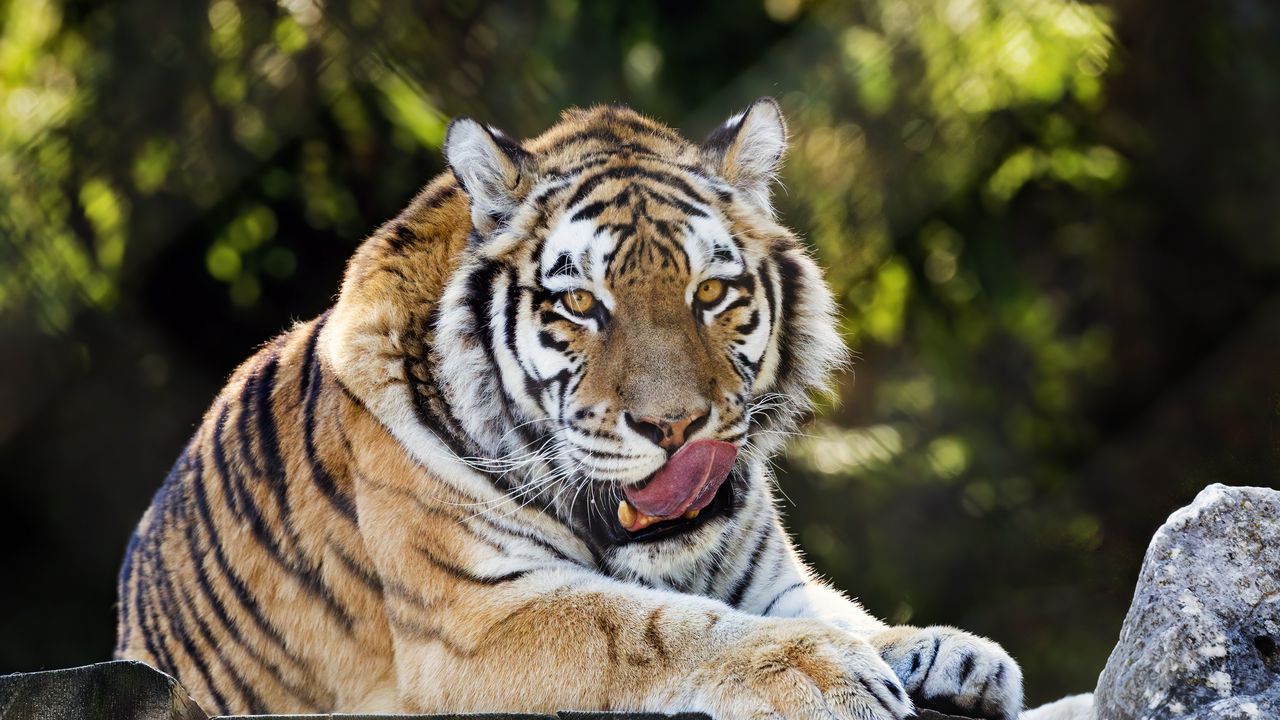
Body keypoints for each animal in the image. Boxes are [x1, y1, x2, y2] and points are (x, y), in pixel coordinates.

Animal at [115, 99, 1023, 720]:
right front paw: (821, 672)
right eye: (582, 304)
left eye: (712, 292)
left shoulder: (769, 578)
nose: (673, 428)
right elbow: (650, 627)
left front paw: (953, 653)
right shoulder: (476, 621)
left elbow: (848, 613)